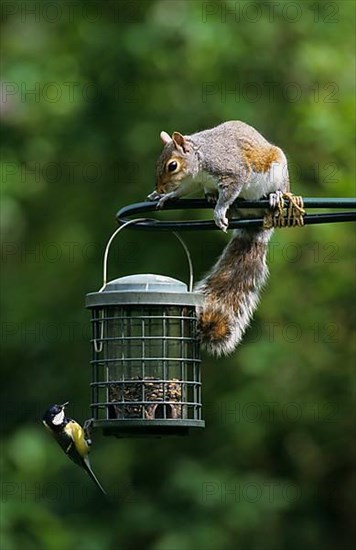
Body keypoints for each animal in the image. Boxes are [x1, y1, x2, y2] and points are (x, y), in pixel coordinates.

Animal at [148, 122, 292, 358]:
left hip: (277, 171)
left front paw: (219, 211)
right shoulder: (194, 182)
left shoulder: (232, 172)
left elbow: (229, 192)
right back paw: (213, 197)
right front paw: (167, 196)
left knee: (279, 188)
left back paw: (275, 195)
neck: (200, 158)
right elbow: (184, 190)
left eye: (172, 166)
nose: (160, 188)